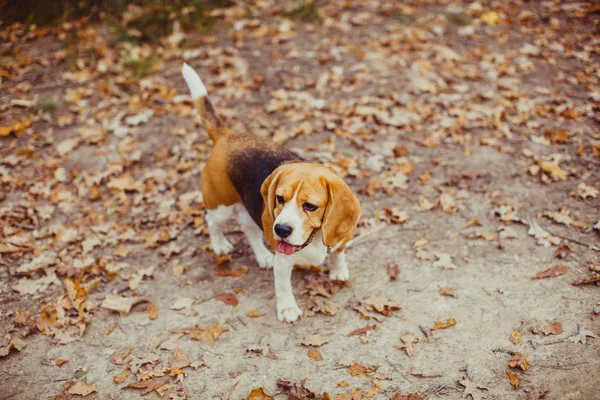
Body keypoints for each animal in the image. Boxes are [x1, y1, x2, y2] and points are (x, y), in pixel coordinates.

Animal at [182, 64, 360, 324]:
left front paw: (338, 270)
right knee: (212, 222)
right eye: (280, 199)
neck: (314, 238)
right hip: (221, 206)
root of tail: (227, 135)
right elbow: (283, 286)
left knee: (249, 229)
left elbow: (338, 253)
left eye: (310, 206)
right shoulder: (284, 261)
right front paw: (287, 309)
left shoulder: (340, 239)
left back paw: (263, 256)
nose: (281, 230)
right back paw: (220, 245)